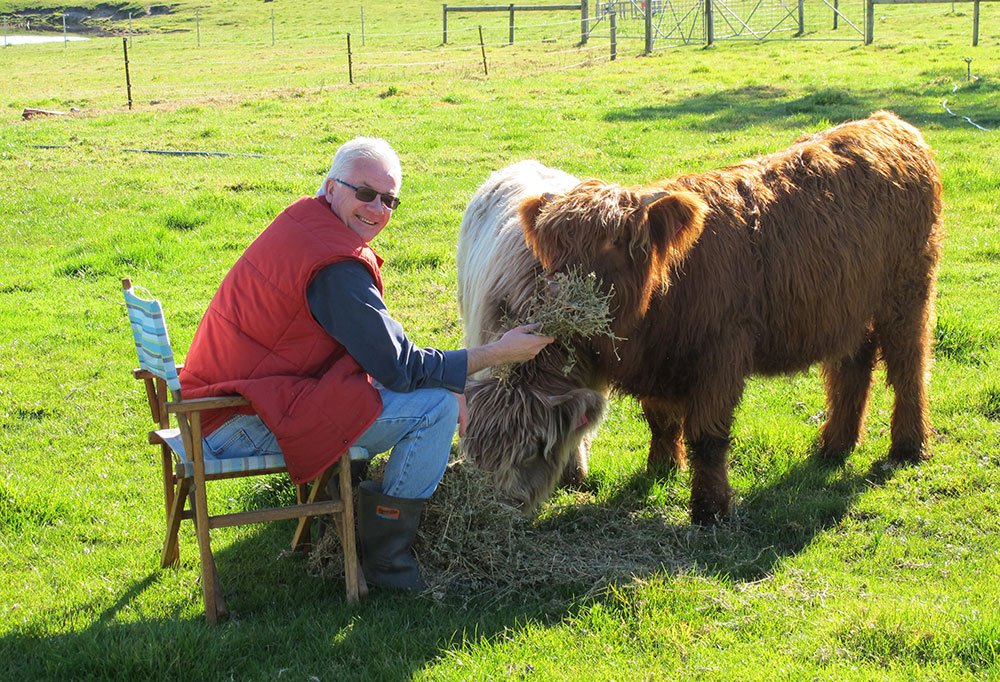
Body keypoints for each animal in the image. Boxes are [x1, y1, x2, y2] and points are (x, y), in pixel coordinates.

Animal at [474, 112, 944, 525]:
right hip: (849, 307)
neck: (665, 293)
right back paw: (836, 444)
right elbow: (661, 420)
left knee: (909, 364)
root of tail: (889, 124)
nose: (557, 295)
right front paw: (661, 469)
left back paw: (908, 446)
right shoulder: (658, 362)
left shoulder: (722, 355)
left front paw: (710, 510)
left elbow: (708, 436)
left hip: (908, 292)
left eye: (612, 243)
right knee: (853, 366)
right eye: (553, 248)